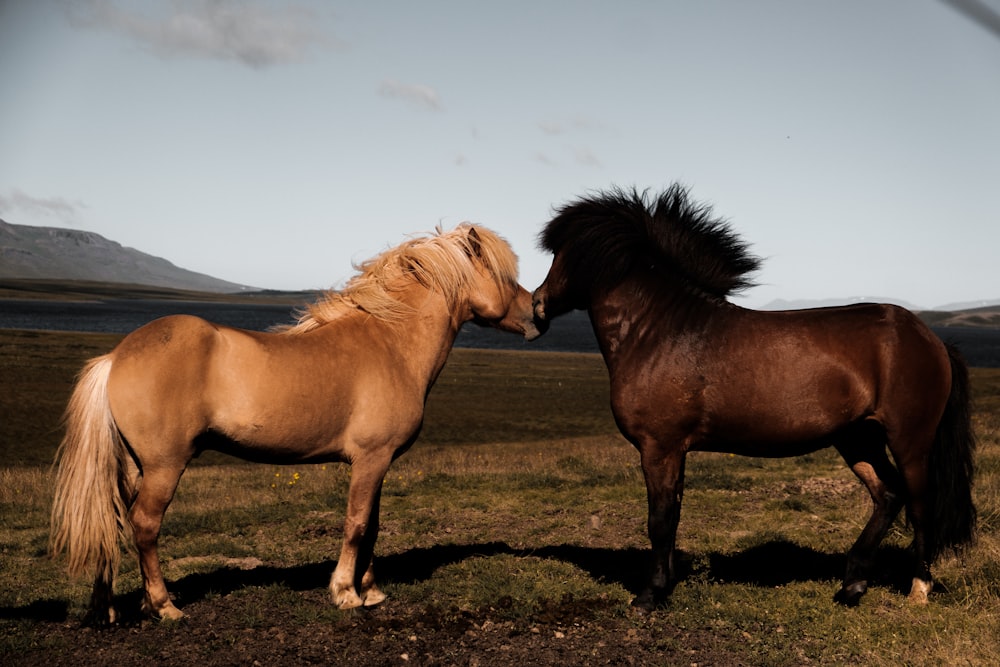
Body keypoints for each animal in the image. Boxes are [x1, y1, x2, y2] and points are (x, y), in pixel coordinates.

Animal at [50, 224, 544, 628]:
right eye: (504, 275)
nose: (538, 314)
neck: (391, 343)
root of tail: (117, 356)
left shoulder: (379, 462)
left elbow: (373, 524)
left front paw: (371, 591)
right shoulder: (370, 458)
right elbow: (357, 524)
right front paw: (346, 594)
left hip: (133, 465)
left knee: (111, 521)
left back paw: (107, 609)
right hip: (163, 466)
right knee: (144, 525)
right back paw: (164, 605)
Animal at [532, 185, 976, 612]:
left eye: (563, 253)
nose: (537, 304)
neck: (659, 332)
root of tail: (930, 338)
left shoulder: (659, 447)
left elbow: (658, 520)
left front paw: (648, 595)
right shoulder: (675, 451)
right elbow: (673, 517)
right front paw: (666, 585)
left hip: (910, 440)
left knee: (919, 504)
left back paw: (918, 589)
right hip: (858, 437)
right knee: (887, 495)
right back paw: (851, 586)